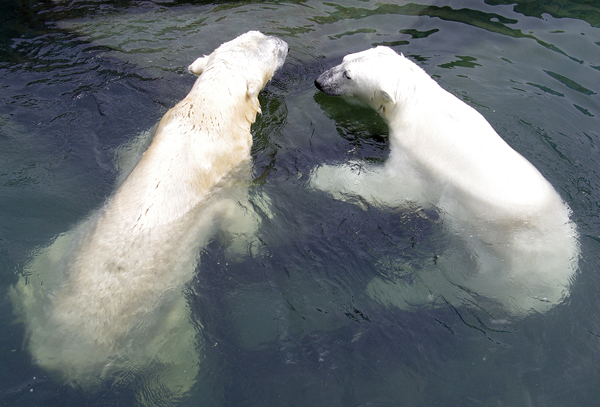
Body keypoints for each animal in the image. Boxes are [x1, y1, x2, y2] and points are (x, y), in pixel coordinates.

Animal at [10, 30, 288, 404]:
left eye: (257, 35)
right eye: (270, 48)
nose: (284, 42)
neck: (206, 115)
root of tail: (60, 357)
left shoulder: (160, 127)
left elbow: (129, 151)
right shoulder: (230, 168)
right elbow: (240, 220)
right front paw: (255, 238)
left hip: (49, 261)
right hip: (158, 326)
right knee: (177, 358)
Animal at [312, 46, 580, 318]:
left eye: (348, 75)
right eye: (344, 60)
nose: (319, 81)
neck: (418, 104)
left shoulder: (418, 157)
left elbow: (392, 188)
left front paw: (320, 176)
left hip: (509, 265)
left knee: (461, 279)